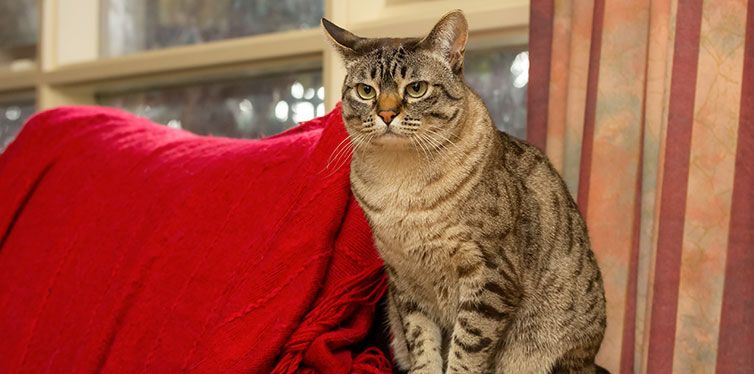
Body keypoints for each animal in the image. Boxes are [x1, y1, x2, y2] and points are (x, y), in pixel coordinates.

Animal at [322, 9, 604, 374]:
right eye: (366, 91)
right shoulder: (405, 281)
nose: (385, 114)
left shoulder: (490, 276)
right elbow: (422, 345)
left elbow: (467, 350)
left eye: (416, 88)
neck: (401, 190)